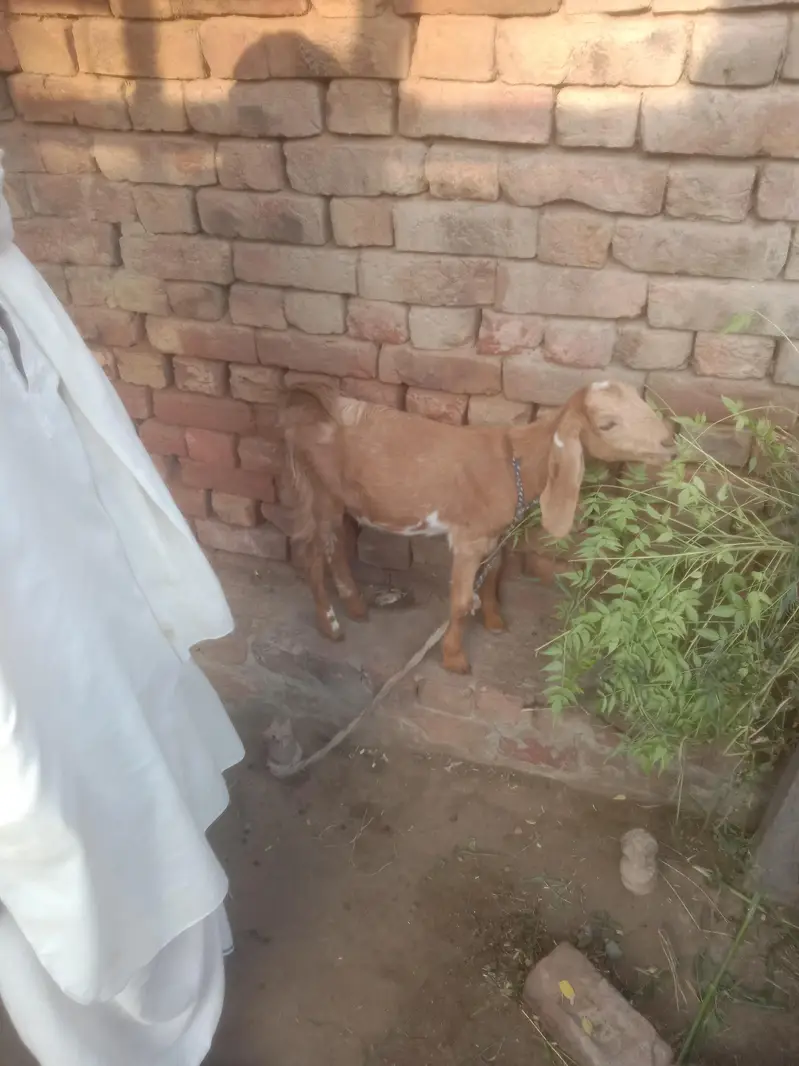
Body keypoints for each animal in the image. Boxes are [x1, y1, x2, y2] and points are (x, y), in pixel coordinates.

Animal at [281, 379, 675, 674]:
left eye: (642, 406)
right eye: (607, 424)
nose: (669, 441)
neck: (514, 461)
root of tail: (305, 407)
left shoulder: (493, 534)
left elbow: (495, 574)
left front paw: (495, 620)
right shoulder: (467, 538)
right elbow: (459, 602)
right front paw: (455, 658)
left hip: (338, 500)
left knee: (334, 546)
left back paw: (356, 607)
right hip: (317, 491)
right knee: (310, 553)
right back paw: (331, 626)